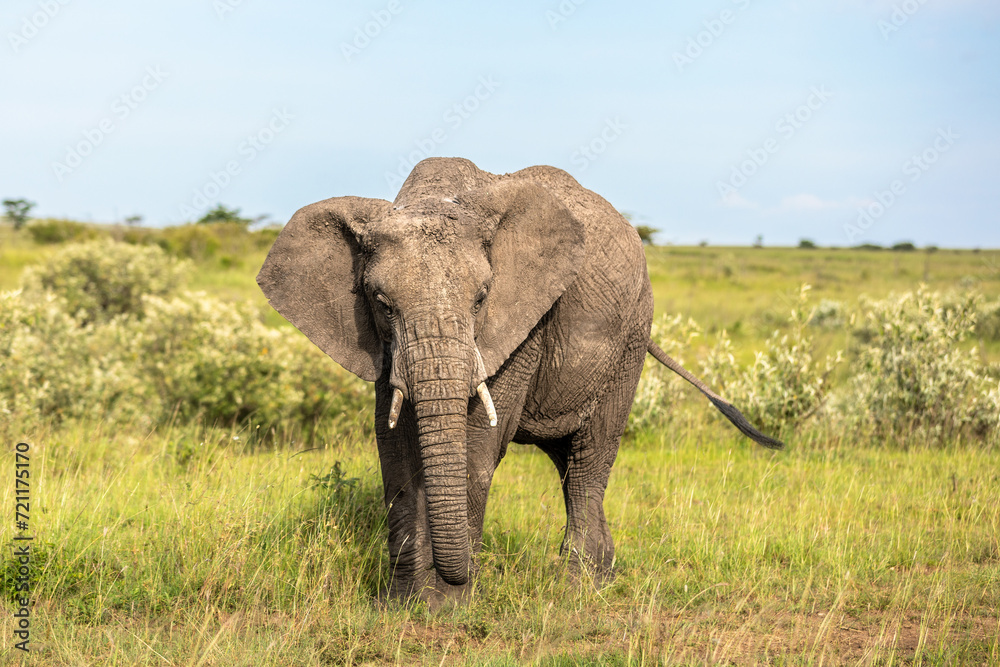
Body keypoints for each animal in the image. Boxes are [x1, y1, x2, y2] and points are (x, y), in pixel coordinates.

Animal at [256, 157, 780, 604]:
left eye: (481, 299)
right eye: (381, 303)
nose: (455, 577)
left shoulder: (525, 322)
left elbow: (477, 448)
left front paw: (448, 605)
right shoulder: (381, 344)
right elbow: (394, 448)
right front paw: (401, 603)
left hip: (631, 333)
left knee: (590, 457)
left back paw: (578, 587)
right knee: (567, 461)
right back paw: (602, 575)